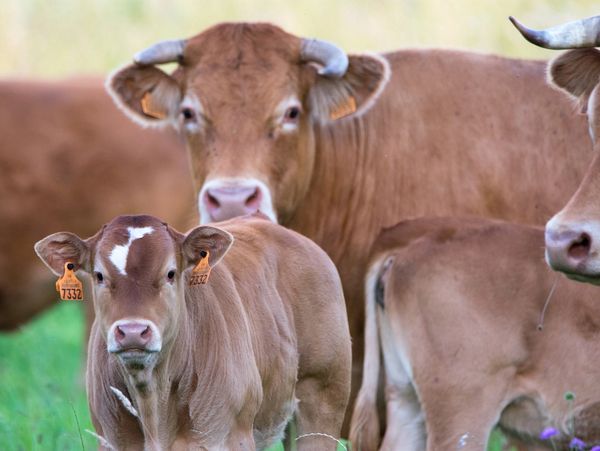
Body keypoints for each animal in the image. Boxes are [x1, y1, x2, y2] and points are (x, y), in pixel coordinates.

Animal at [34, 214, 352, 450]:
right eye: (99, 275)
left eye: (170, 273)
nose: (133, 331)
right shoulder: (112, 440)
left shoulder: (230, 437)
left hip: (322, 400)